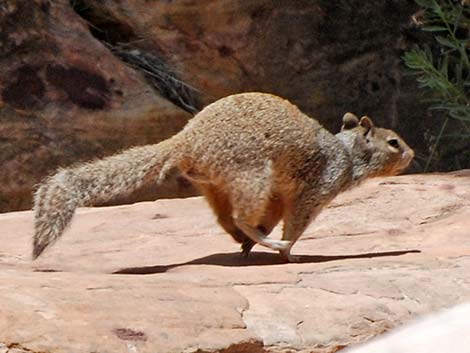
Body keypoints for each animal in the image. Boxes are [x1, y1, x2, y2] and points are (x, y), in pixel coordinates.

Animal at [33, 92, 414, 260]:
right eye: (394, 142)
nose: (412, 154)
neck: (346, 152)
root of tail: (186, 140)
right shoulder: (315, 189)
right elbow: (296, 222)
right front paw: (289, 251)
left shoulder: (279, 193)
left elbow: (274, 213)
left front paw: (260, 242)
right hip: (251, 174)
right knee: (241, 216)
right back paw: (266, 242)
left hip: (217, 185)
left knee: (226, 219)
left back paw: (245, 240)